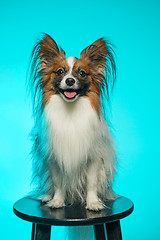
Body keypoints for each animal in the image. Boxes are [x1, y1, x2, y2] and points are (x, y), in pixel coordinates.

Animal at [28, 33, 116, 210]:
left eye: (82, 73)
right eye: (60, 72)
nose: (69, 81)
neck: (70, 111)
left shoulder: (93, 158)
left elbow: (91, 183)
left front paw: (93, 203)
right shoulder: (54, 159)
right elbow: (58, 183)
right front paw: (57, 201)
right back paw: (47, 196)